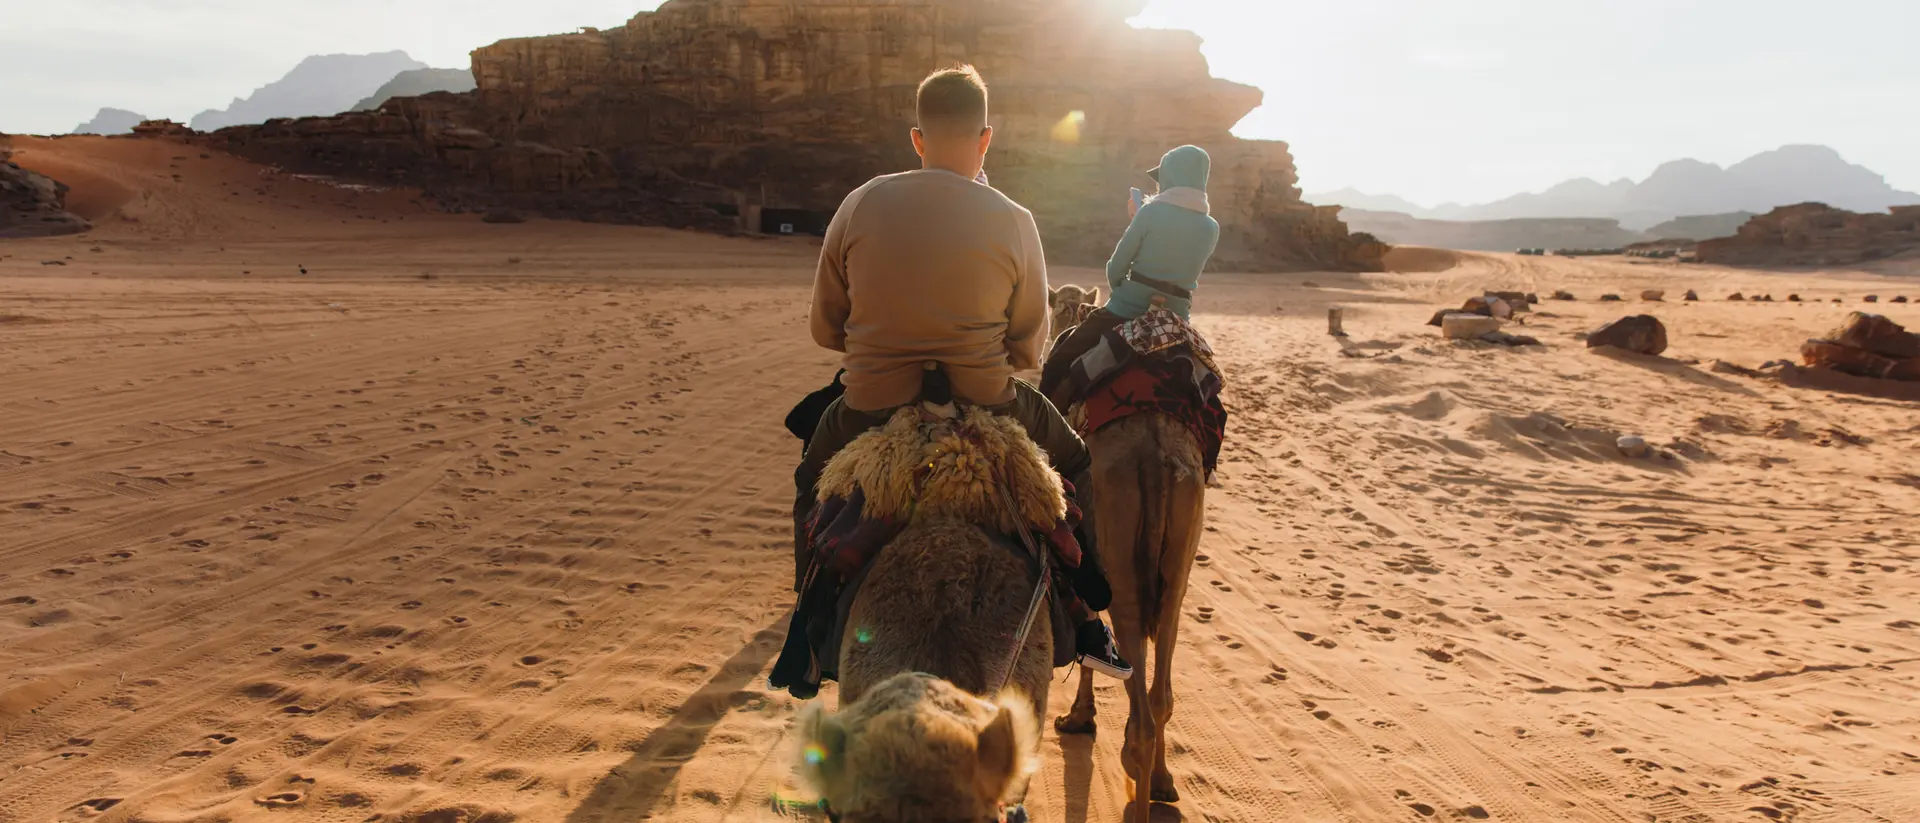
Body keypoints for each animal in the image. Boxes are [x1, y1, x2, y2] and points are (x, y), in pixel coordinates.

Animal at [1045, 286, 1211, 823]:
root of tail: (1155, 456)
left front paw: (1078, 718)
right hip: (1181, 538)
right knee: (1162, 686)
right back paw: (1162, 782)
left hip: (1118, 536)